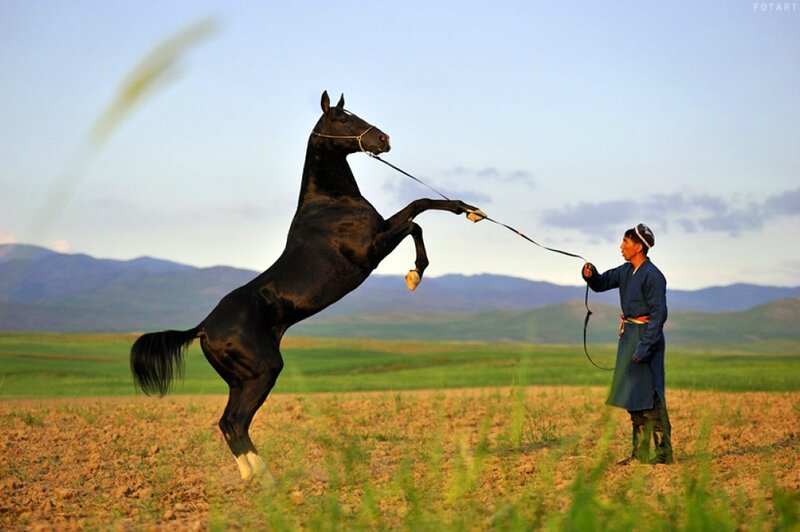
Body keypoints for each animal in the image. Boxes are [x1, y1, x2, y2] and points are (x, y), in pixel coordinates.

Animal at [130, 91, 484, 483]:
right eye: (343, 118)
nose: (383, 139)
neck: (330, 203)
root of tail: (203, 328)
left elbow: (419, 210)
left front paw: (469, 212)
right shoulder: (370, 250)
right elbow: (415, 217)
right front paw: (415, 275)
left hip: (240, 379)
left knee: (227, 423)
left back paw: (254, 477)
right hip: (263, 371)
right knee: (235, 422)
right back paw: (267, 481)